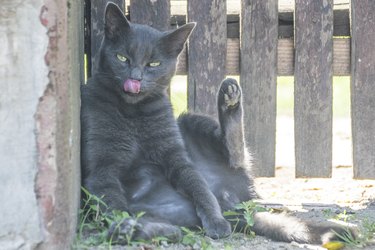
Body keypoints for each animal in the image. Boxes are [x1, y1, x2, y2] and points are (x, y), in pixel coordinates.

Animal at [81, 1, 354, 244]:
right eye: (122, 57)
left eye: (153, 64)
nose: (135, 78)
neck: (133, 112)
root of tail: (233, 204)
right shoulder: (102, 168)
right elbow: (113, 203)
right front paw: (121, 221)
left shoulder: (177, 157)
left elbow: (199, 188)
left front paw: (215, 222)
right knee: (173, 231)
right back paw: (130, 230)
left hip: (190, 120)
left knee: (235, 157)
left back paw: (229, 98)